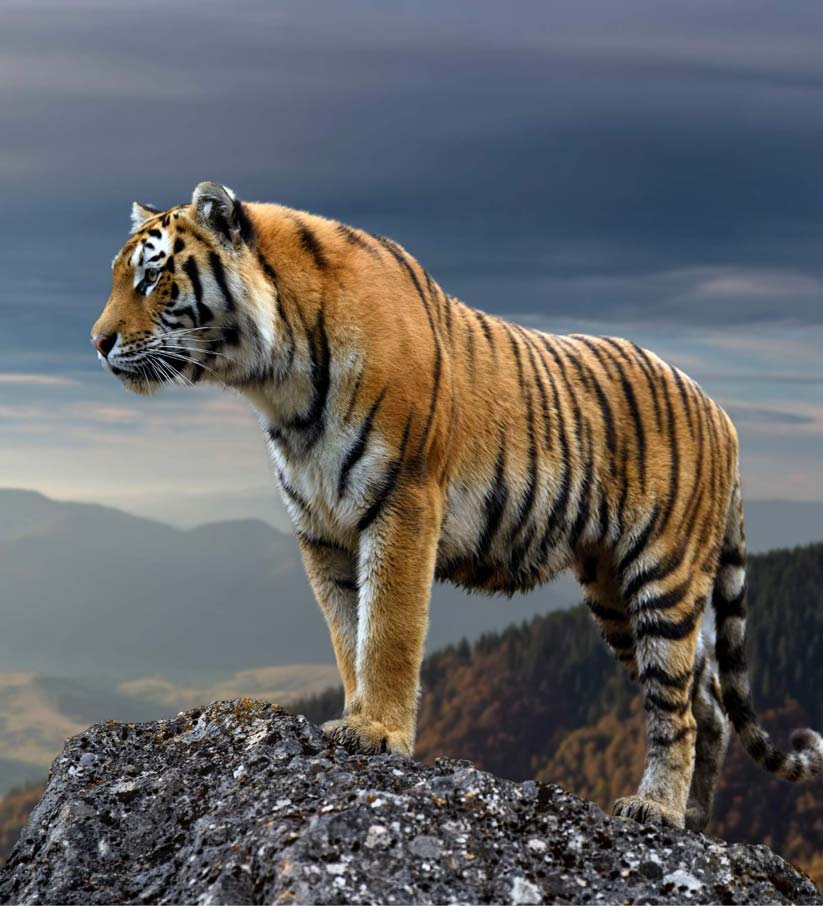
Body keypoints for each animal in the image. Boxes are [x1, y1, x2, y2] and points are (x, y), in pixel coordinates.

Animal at [91, 181, 823, 830]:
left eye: (153, 278)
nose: (97, 343)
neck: (278, 386)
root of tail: (723, 414)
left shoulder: (402, 504)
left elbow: (387, 631)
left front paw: (378, 732)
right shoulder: (321, 533)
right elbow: (347, 634)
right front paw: (355, 716)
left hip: (662, 577)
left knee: (676, 708)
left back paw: (658, 811)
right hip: (614, 593)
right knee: (708, 705)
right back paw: (694, 820)